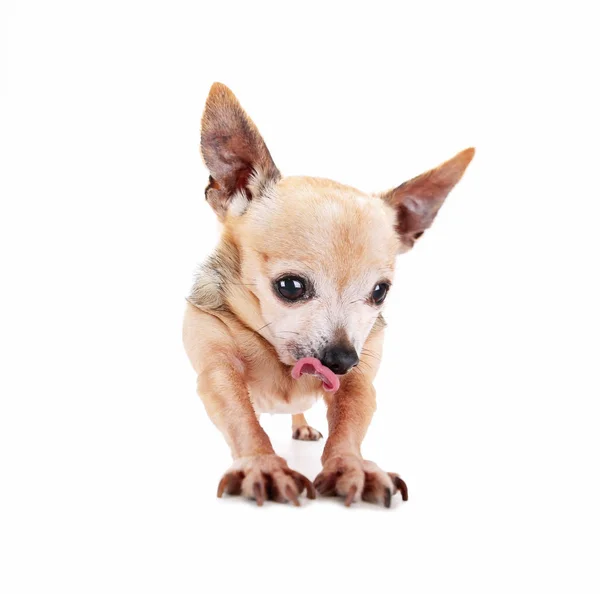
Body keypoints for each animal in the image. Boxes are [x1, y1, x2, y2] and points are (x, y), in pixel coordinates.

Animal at [183, 83, 474, 506]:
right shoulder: (218, 369)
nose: (342, 359)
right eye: (290, 287)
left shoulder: (359, 382)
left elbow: (349, 421)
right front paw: (262, 464)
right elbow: (241, 415)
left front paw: (351, 465)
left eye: (380, 292)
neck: (281, 359)